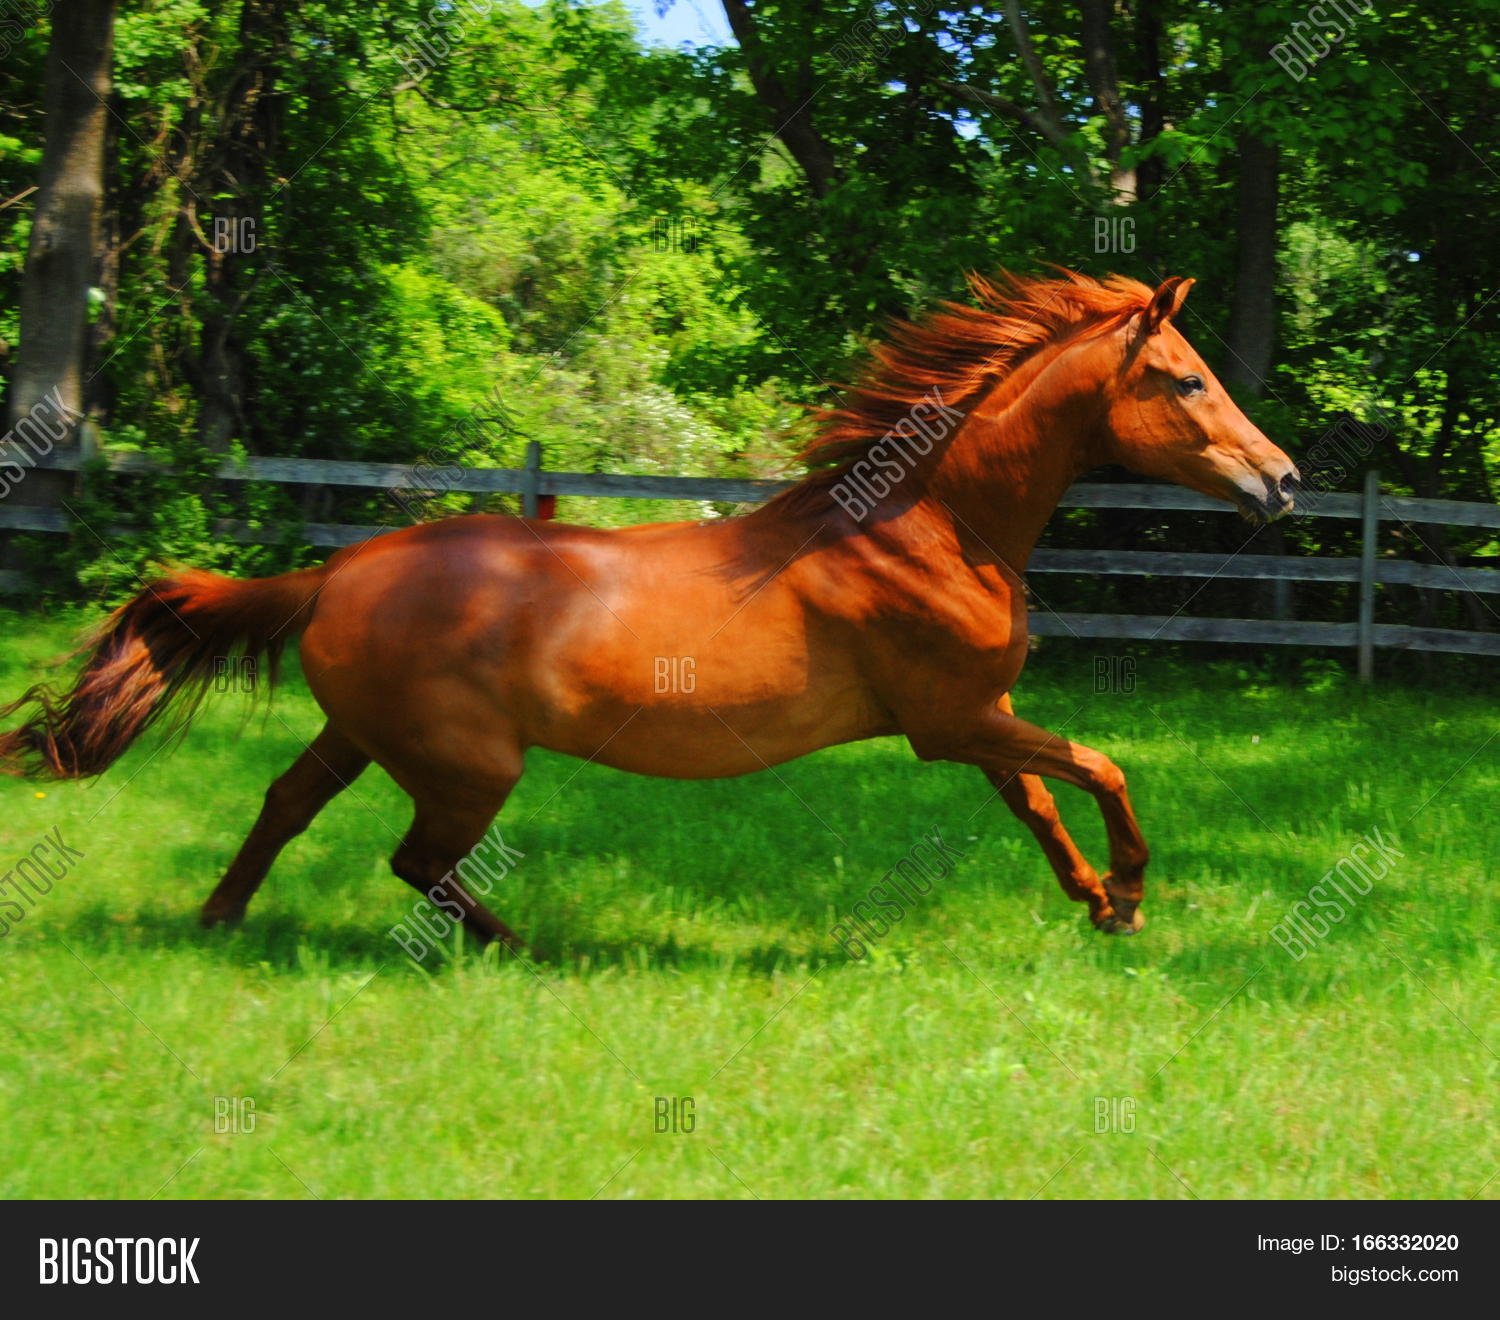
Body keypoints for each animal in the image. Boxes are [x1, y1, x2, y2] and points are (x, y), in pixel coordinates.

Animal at [0, 271, 1300, 948]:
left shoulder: (979, 711)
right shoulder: (951, 719)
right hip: (467, 765)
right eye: (1184, 377)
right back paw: (519, 946)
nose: (1282, 481)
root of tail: (339, 571)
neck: (926, 524)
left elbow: (1038, 800)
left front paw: (1098, 905)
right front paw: (1132, 891)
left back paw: (219, 919)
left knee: (285, 806)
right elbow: (1102, 768)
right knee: (412, 859)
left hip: (361, 734)